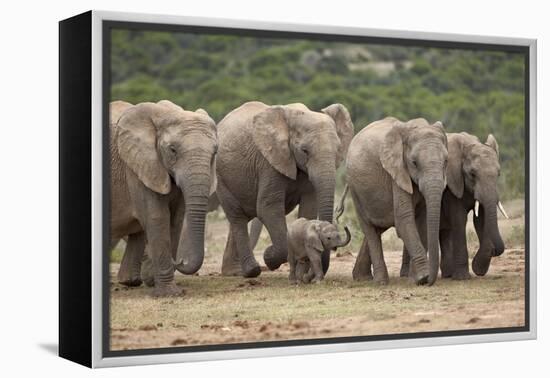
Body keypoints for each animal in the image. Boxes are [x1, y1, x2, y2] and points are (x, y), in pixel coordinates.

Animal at [110, 99, 218, 296]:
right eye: (172, 150)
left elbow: (175, 219)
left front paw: (155, 282)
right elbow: (157, 217)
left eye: (215, 152)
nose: (180, 261)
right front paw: (169, 293)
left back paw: (130, 281)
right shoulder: (138, 165)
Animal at [216, 100, 354, 278]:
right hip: (221, 177)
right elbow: (268, 207)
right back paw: (251, 271)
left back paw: (234, 272)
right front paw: (269, 258)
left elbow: (309, 207)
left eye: (338, 149)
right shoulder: (268, 162)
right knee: (237, 217)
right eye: (304, 151)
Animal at [348, 116, 450, 284]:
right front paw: (423, 277)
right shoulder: (396, 171)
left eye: (446, 161)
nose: (430, 280)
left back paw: (361, 277)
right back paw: (380, 282)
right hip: (355, 190)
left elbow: (422, 220)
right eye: (414, 163)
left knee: (378, 228)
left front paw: (416, 278)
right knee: (369, 229)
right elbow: (404, 219)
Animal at [402, 131, 508, 280]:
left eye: (498, 174)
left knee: (445, 232)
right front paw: (463, 277)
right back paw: (406, 275)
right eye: (472, 174)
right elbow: (459, 219)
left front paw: (478, 268)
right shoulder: (452, 184)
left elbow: (480, 219)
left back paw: (447, 274)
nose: (495, 250)